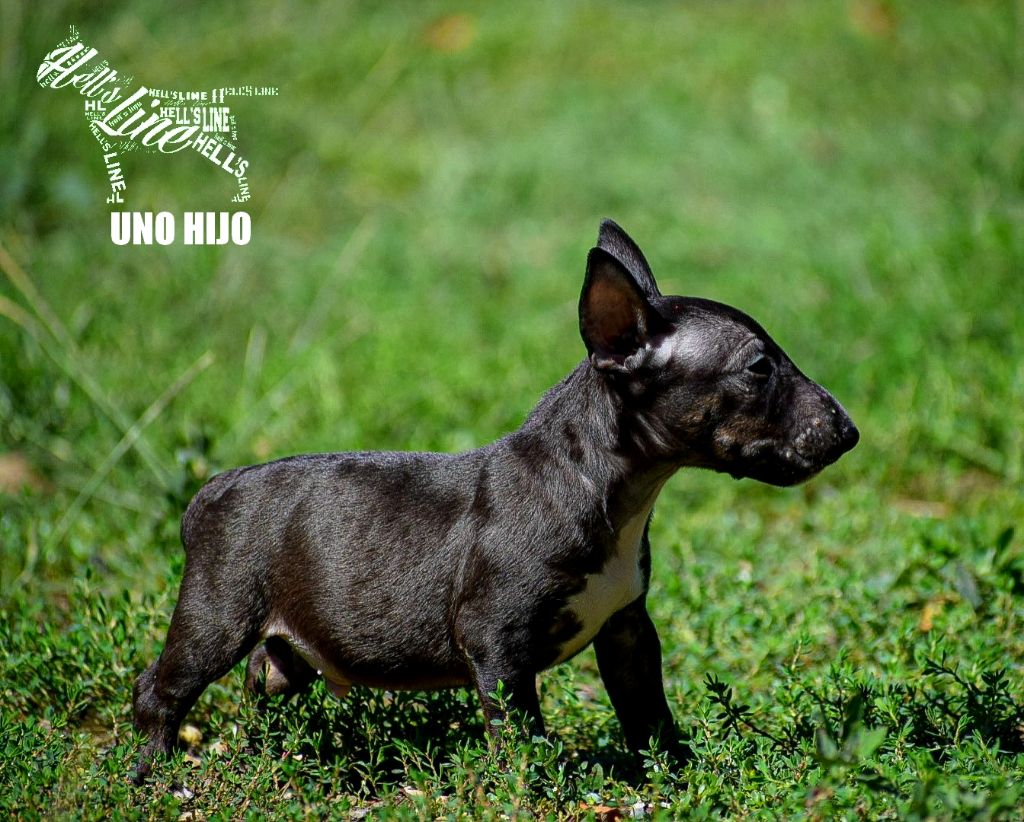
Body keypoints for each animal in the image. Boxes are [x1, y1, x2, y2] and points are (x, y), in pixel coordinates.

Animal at [131, 220, 858, 782]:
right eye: (759, 368)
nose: (848, 431)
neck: (602, 487)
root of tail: (212, 490)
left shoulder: (628, 631)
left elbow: (648, 715)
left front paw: (679, 775)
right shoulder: (498, 645)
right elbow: (522, 739)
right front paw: (533, 793)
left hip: (285, 653)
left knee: (265, 684)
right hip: (216, 617)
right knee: (161, 690)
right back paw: (152, 776)